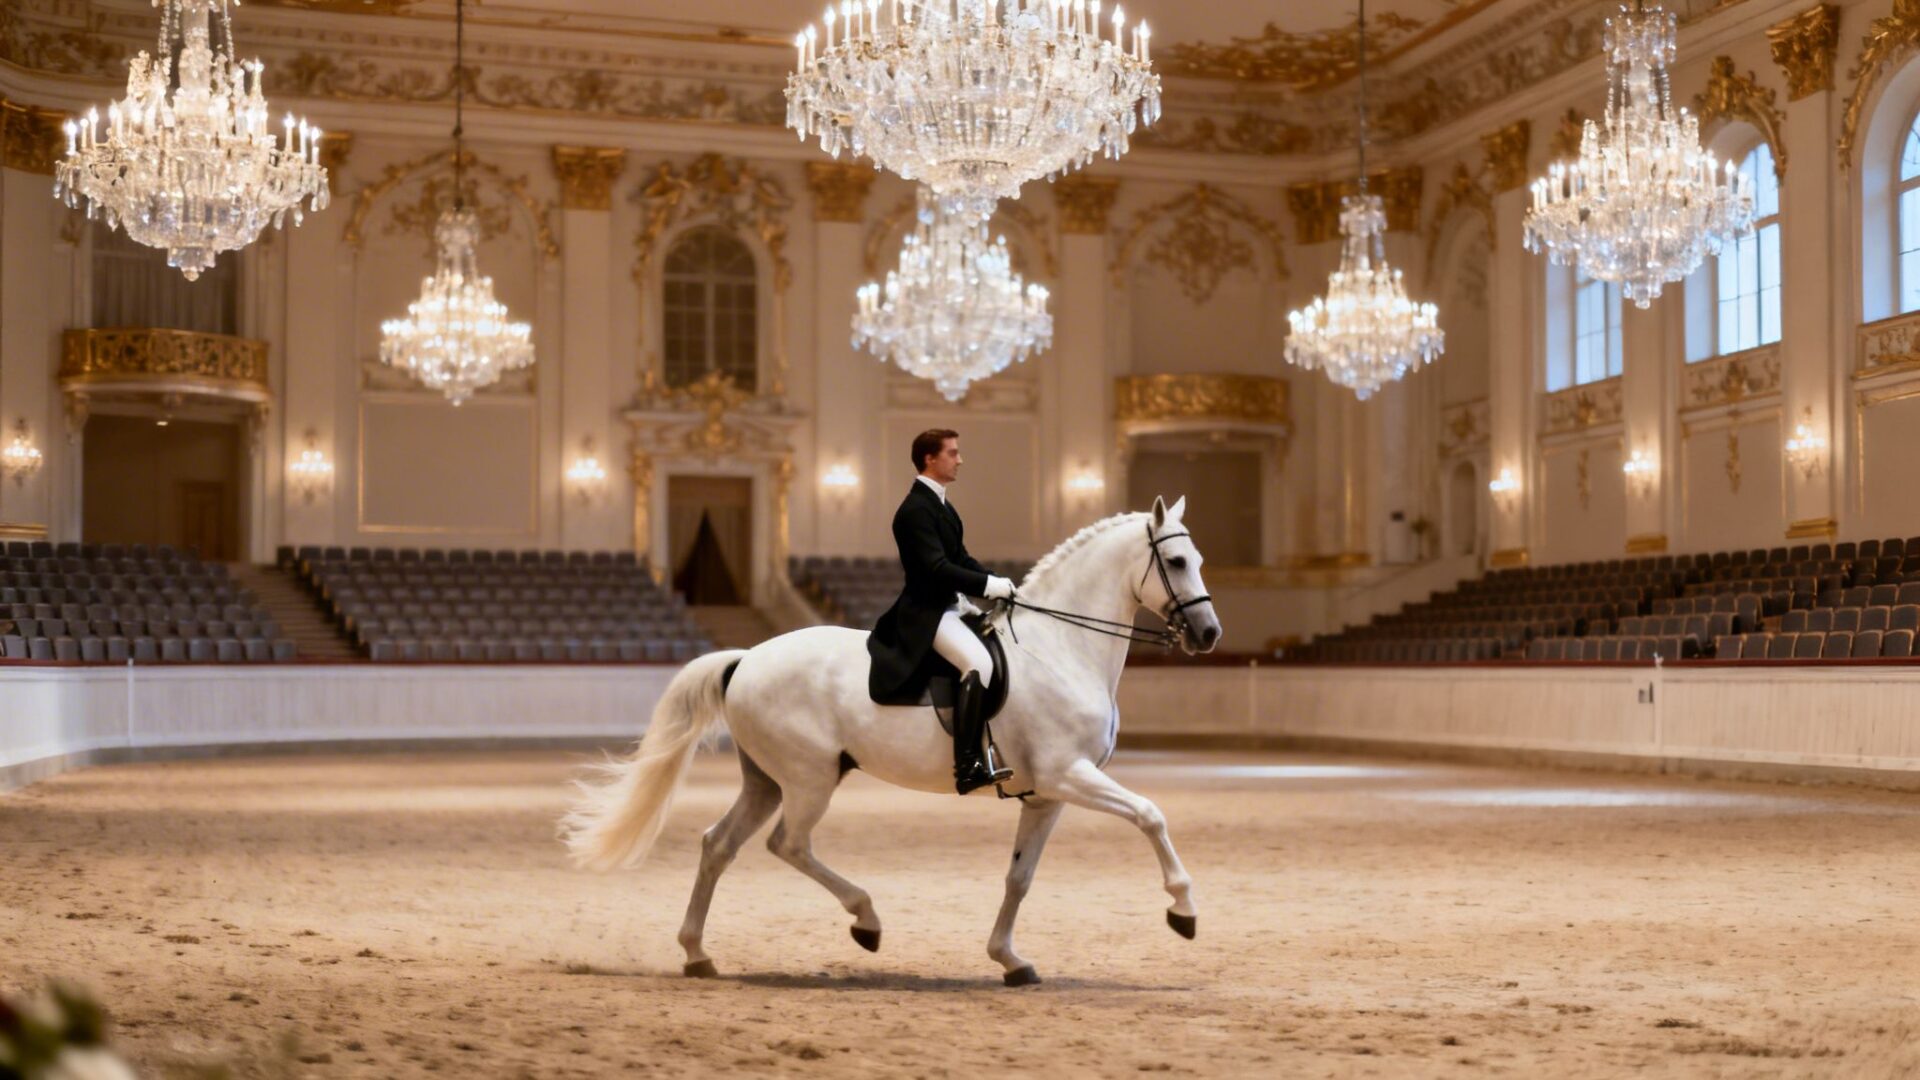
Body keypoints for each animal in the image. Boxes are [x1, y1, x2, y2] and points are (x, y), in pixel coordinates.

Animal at [560, 495, 1222, 986]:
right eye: (1177, 562)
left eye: (1199, 558)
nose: (1210, 634)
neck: (1061, 650)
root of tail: (746, 658)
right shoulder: (1069, 773)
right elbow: (1150, 814)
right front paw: (1183, 910)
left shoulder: (1046, 795)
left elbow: (1019, 878)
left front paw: (1010, 960)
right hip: (809, 778)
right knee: (787, 844)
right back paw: (866, 921)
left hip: (766, 779)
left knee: (718, 845)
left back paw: (698, 954)